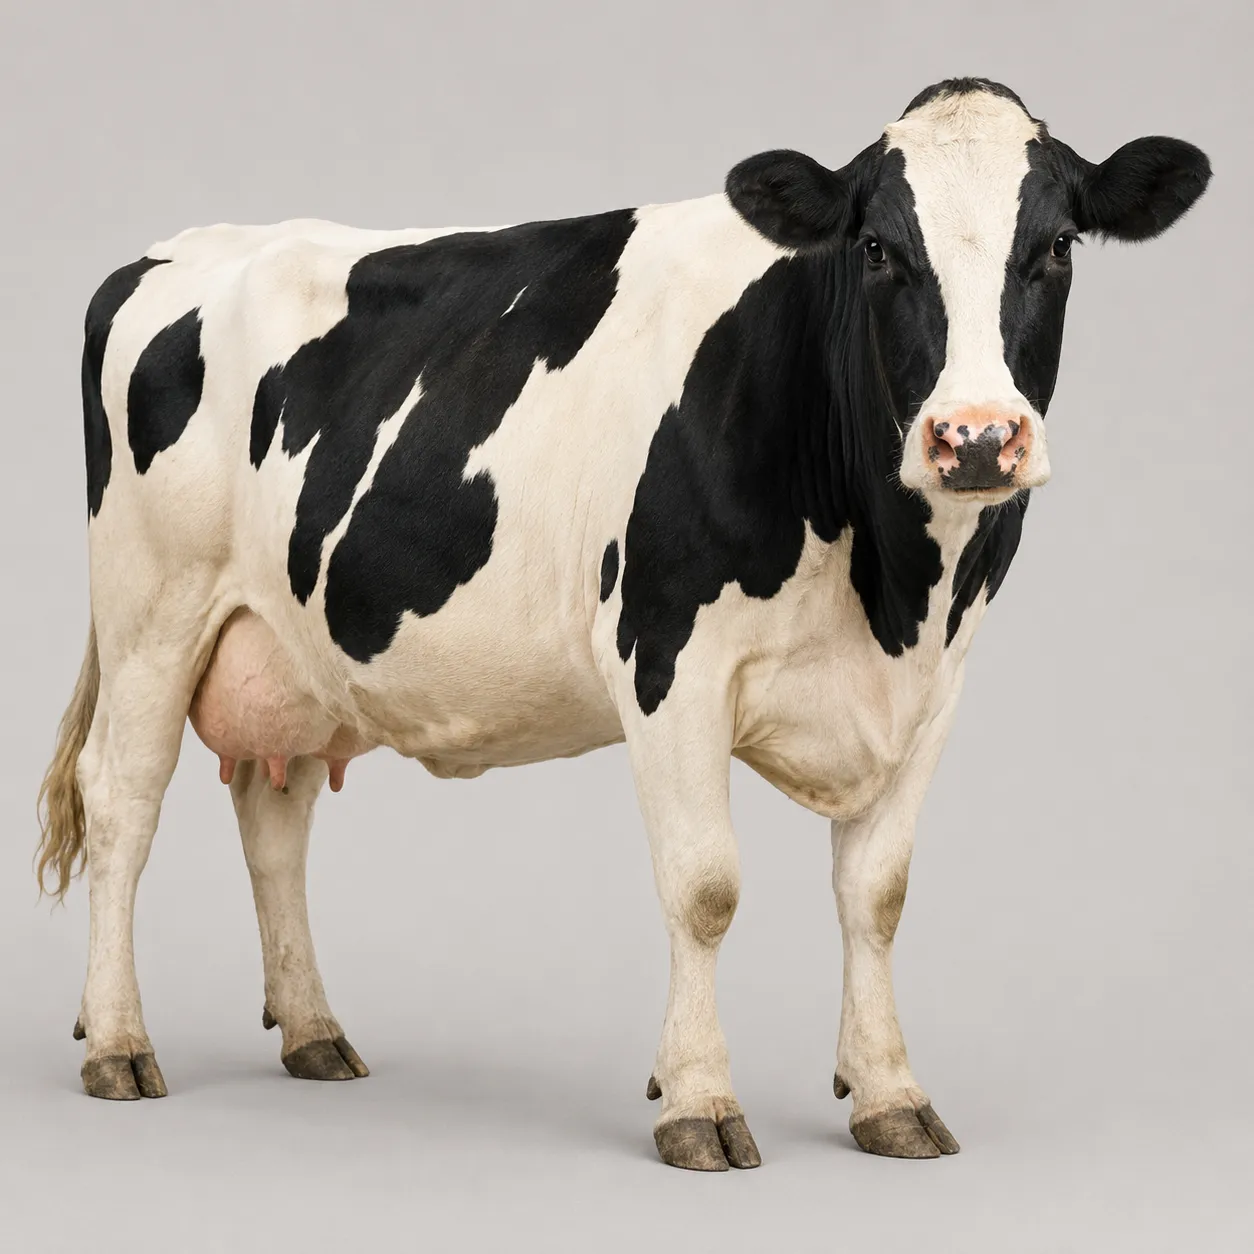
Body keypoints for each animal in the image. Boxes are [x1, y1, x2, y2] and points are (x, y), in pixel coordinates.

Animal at [36, 77, 1210, 1171]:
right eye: (878, 247)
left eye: (1056, 245)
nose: (975, 437)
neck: (890, 589)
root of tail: (163, 257)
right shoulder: (668, 657)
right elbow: (705, 889)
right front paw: (699, 1102)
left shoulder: (934, 687)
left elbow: (877, 894)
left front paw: (888, 1096)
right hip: (151, 612)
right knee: (122, 803)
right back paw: (119, 1043)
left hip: (287, 649)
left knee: (272, 819)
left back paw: (314, 1032)